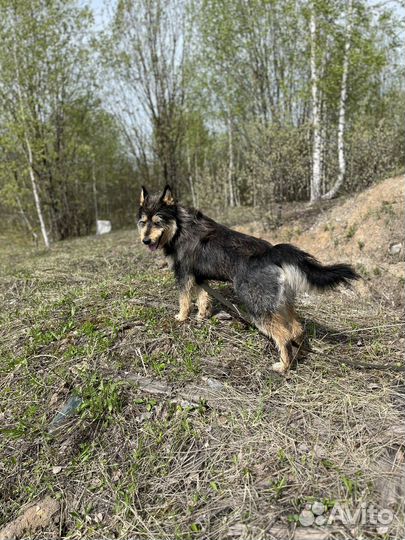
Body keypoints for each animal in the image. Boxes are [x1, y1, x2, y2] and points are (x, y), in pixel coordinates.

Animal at [137, 185, 358, 372]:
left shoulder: (184, 274)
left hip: (257, 307)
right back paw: (300, 354)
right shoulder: (198, 277)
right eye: (142, 222)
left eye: (157, 222)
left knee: (283, 335)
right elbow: (202, 298)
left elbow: (184, 300)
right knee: (296, 328)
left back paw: (283, 366)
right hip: (278, 303)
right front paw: (202, 316)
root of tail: (270, 253)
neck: (179, 227)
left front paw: (182, 318)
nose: (145, 240)